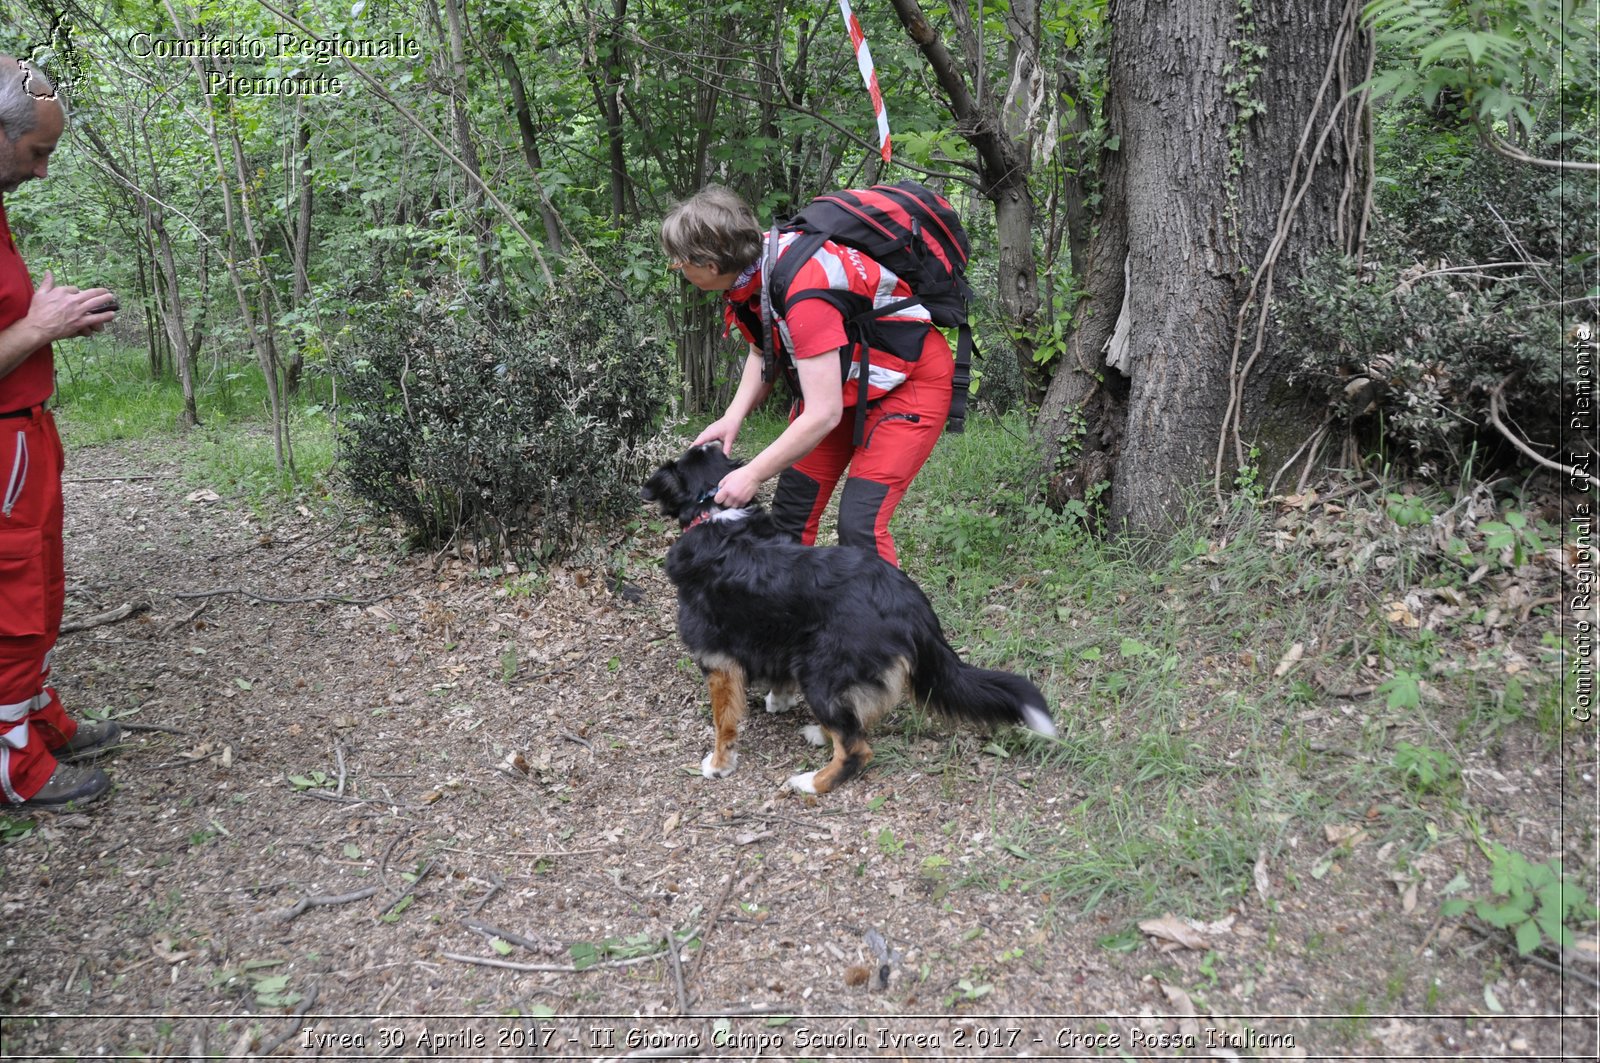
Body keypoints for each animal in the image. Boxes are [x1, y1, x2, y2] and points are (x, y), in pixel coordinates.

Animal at [643, 441, 1056, 797]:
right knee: (858, 720)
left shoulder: (718, 662)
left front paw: (719, 764)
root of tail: (908, 599)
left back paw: (812, 782)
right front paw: (779, 698)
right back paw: (821, 734)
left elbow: (724, 720)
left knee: (858, 749)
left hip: (820, 671)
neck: (713, 512)